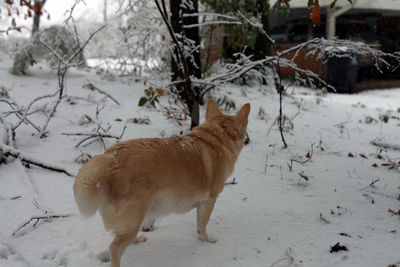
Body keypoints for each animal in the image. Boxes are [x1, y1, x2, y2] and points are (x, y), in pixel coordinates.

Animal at [72, 100, 250, 267]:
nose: (248, 141)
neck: (220, 133)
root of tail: (109, 160)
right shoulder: (208, 201)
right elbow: (202, 225)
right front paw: (206, 240)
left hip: (134, 218)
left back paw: (138, 239)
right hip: (133, 217)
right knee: (114, 248)